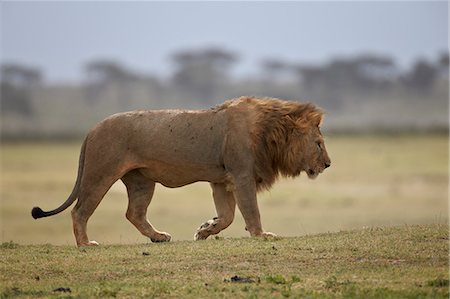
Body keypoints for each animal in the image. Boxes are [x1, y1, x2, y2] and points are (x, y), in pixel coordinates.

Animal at [29, 97, 328, 247]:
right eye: (319, 143)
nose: (328, 164)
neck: (271, 132)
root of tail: (91, 129)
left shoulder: (222, 181)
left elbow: (228, 216)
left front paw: (205, 230)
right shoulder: (241, 174)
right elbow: (250, 211)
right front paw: (262, 236)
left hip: (141, 180)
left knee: (134, 213)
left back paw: (158, 237)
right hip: (100, 174)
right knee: (79, 211)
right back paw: (85, 244)